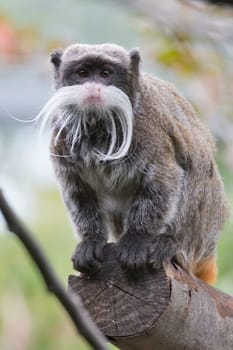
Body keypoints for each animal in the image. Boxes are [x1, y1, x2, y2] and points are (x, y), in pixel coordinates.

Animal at [39, 43, 228, 284]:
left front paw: (136, 240)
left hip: (202, 234)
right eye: (82, 73)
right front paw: (91, 240)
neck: (98, 126)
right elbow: (79, 192)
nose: (93, 88)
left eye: (106, 73)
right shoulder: (61, 140)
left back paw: (171, 245)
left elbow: (165, 180)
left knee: (196, 171)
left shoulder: (147, 131)